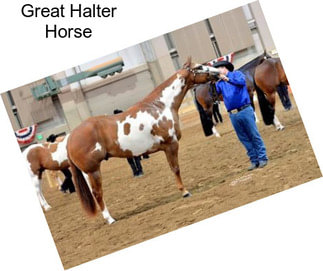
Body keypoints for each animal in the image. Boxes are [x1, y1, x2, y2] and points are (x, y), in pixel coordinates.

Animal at [67, 56, 220, 223]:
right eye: (199, 67)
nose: (218, 73)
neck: (160, 105)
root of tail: (70, 138)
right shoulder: (171, 145)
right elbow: (175, 169)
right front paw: (185, 192)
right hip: (93, 170)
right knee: (97, 193)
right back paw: (110, 219)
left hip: (88, 173)